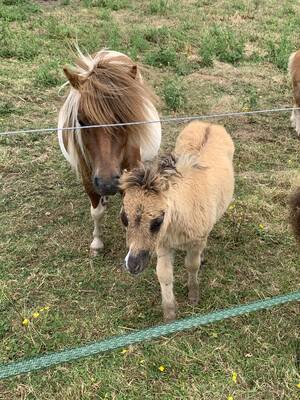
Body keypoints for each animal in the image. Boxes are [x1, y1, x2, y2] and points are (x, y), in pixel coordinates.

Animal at [58, 49, 162, 256]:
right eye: (81, 120)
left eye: (125, 119)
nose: (107, 183)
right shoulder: (88, 177)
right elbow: (96, 212)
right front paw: (97, 242)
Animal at [119, 120, 234, 320]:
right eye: (124, 218)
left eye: (158, 221)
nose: (133, 265)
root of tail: (209, 123)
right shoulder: (163, 244)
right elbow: (164, 275)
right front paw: (170, 314)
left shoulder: (196, 241)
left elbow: (192, 265)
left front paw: (193, 295)